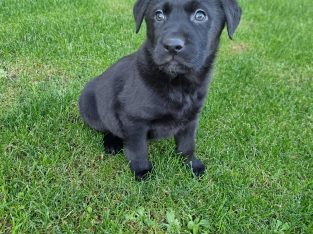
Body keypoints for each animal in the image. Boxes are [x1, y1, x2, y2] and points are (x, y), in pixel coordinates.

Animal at [79, 0, 240, 179]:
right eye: (159, 15)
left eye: (200, 15)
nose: (172, 46)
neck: (178, 84)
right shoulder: (133, 120)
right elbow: (137, 149)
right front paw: (142, 171)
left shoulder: (191, 118)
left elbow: (187, 144)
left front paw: (191, 165)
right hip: (90, 107)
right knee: (109, 128)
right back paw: (112, 143)